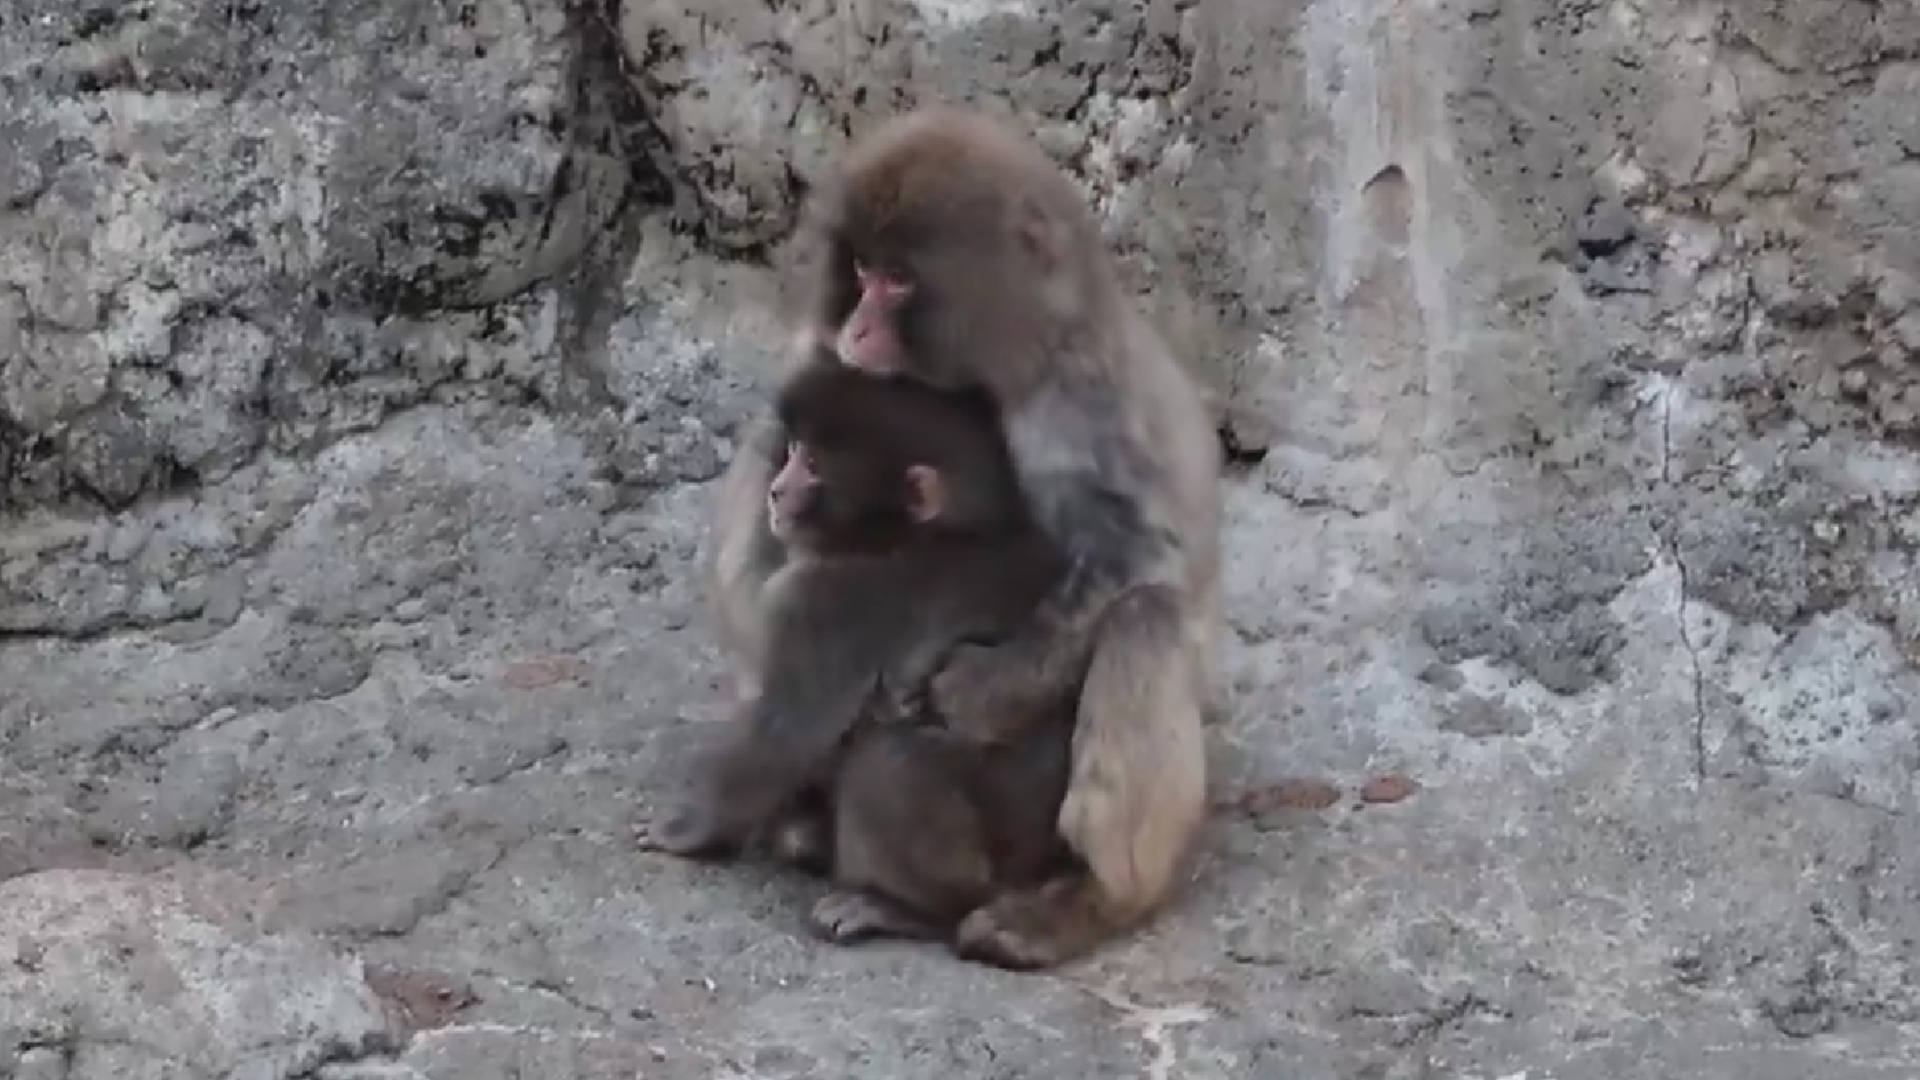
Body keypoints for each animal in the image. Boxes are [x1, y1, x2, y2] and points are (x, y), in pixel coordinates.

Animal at [650, 352, 1084, 949]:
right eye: (793, 451)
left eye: (812, 464)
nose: (776, 490)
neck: (902, 538)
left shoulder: (822, 603)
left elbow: (785, 733)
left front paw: (692, 828)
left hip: (985, 868)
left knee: (886, 762)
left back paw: (908, 909)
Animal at [707, 105, 1224, 969]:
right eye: (863, 270)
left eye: (899, 280)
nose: (859, 323)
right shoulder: (820, 358)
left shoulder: (1087, 401)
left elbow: (1136, 554)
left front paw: (978, 690)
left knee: (1145, 619)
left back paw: (1085, 903)